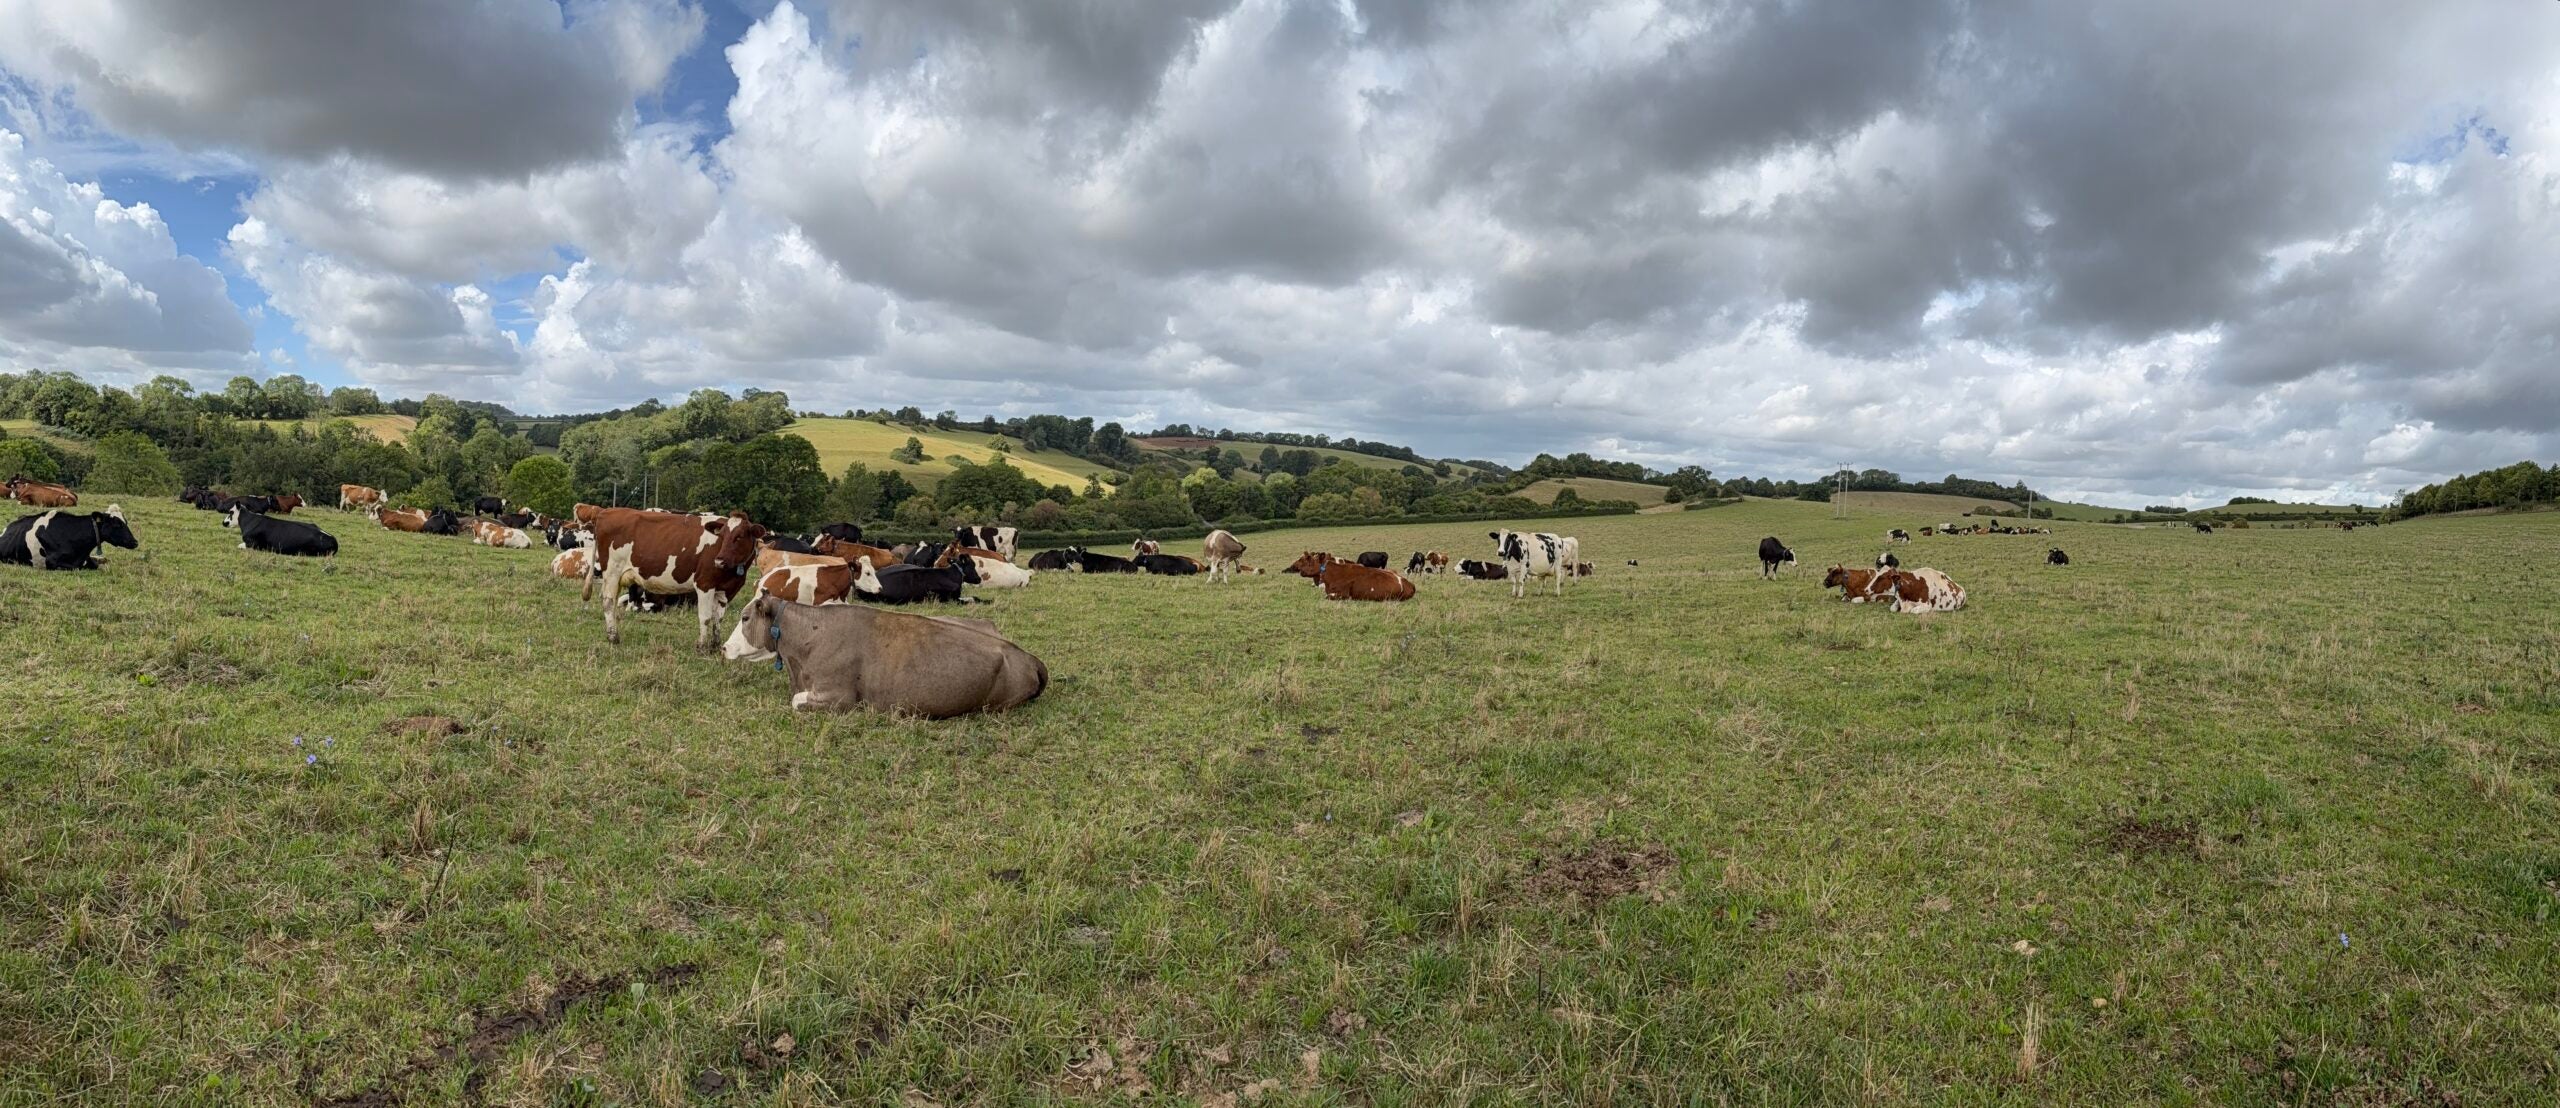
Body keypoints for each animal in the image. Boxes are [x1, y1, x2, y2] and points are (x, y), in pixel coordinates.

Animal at [1, 507, 138, 570]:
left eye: (125, 522)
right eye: (117, 524)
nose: (135, 542)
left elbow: (94, 565)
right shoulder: (51, 561)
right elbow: (76, 567)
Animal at [584, 507, 768, 647]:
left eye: (739, 536)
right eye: (721, 535)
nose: (719, 560)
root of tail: (607, 511)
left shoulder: (726, 590)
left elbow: (718, 618)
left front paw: (715, 645)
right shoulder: (704, 584)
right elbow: (705, 617)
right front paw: (702, 646)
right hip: (612, 572)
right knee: (608, 602)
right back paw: (613, 637)